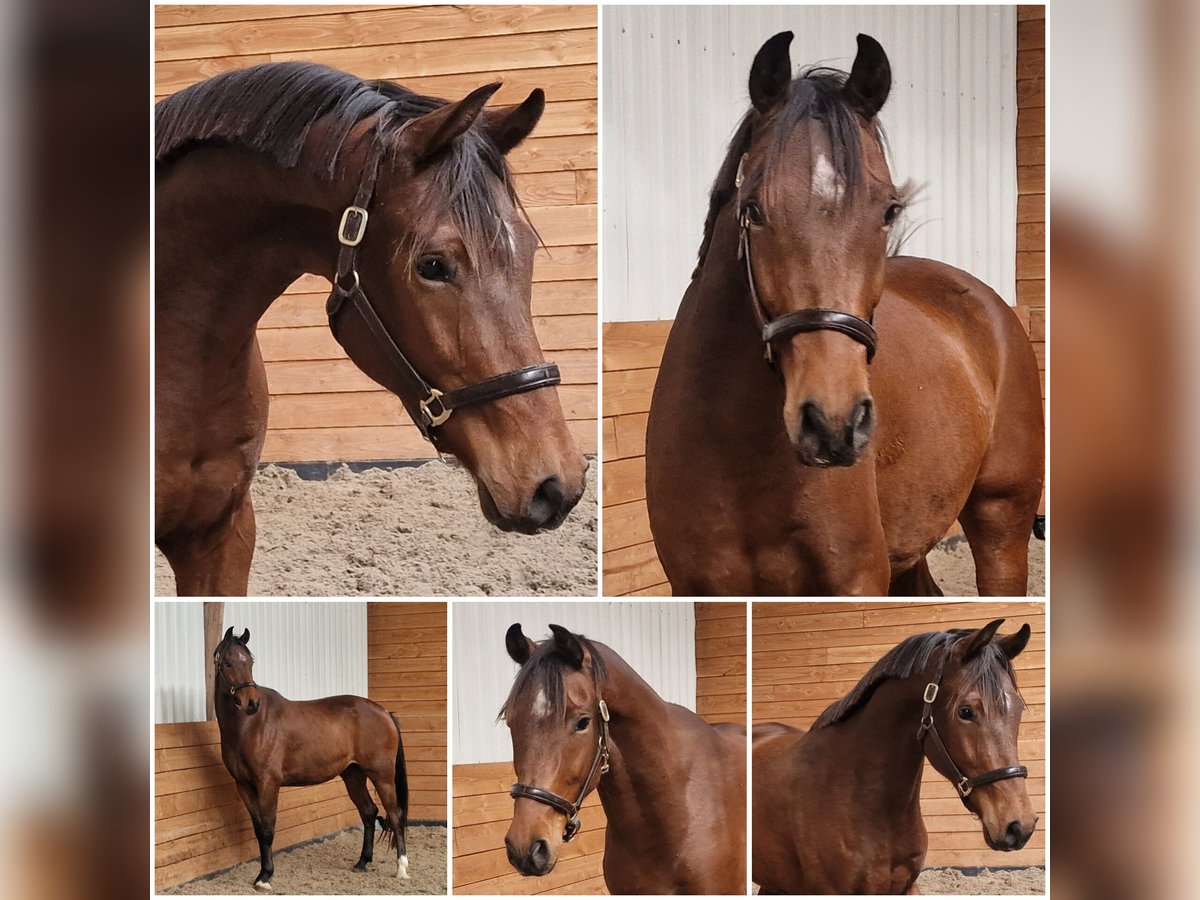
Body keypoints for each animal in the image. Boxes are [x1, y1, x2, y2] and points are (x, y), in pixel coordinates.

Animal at [211, 627, 410, 891]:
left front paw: (265, 876)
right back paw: (362, 862)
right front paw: (261, 875)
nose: (252, 703)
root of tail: (384, 711)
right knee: (369, 812)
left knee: (394, 815)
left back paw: (402, 868)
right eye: (228, 663)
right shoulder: (243, 786)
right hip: (353, 775)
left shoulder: (268, 784)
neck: (250, 726)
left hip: (382, 776)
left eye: (250, 662)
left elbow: (268, 830)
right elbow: (258, 829)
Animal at [645, 32, 1044, 596]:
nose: (834, 424)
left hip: (1001, 521)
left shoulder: (856, 580)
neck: (741, 455)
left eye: (889, 210)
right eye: (753, 210)